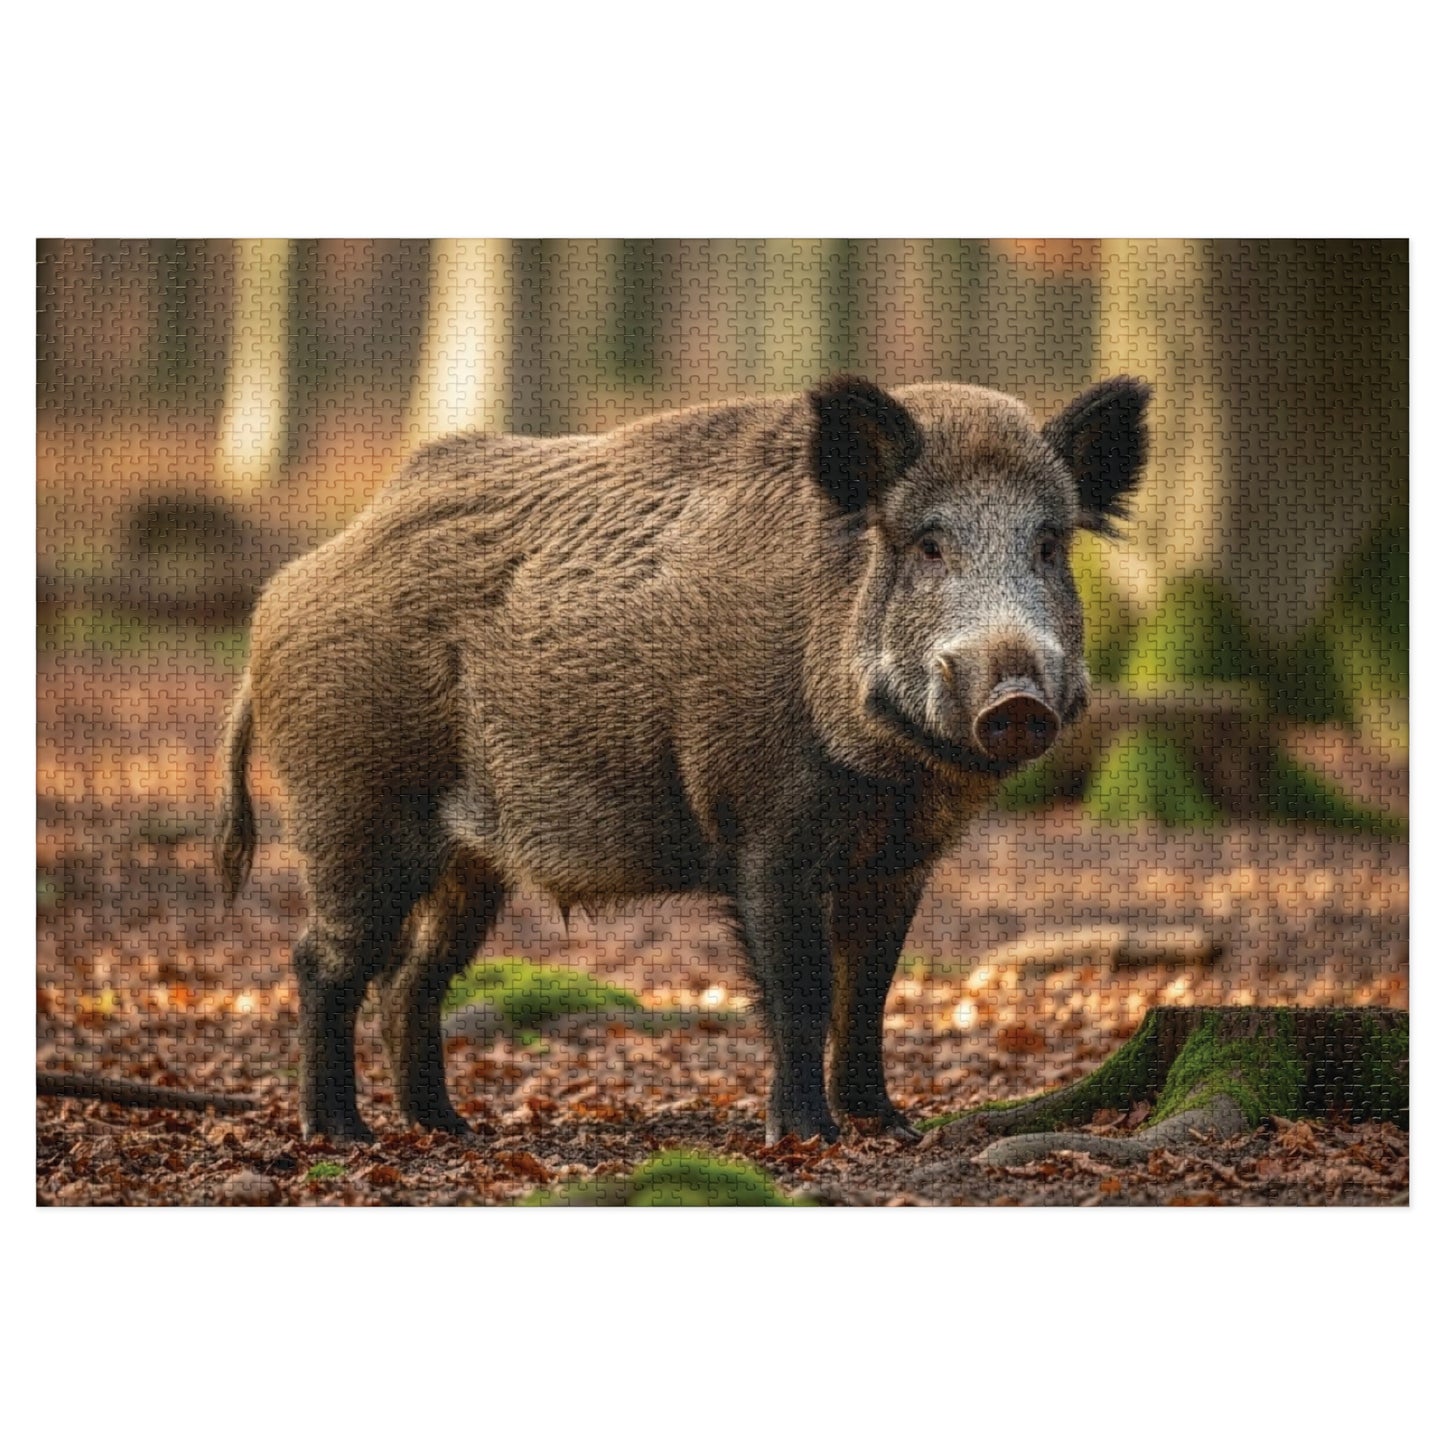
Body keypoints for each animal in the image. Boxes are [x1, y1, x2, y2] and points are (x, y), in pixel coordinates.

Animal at [216, 375, 1149, 1144]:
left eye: (1048, 544)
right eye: (927, 544)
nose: (1016, 699)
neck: (892, 778)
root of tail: (279, 595)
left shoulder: (899, 860)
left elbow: (869, 989)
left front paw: (889, 1125)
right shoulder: (762, 830)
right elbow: (801, 988)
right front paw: (808, 1137)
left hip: (468, 861)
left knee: (412, 977)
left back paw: (450, 1128)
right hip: (353, 805)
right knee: (323, 961)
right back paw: (342, 1135)